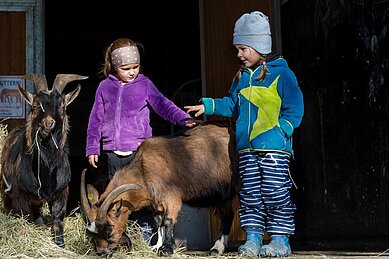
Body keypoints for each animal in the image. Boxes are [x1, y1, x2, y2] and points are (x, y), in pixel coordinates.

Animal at [0, 73, 87, 248]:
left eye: (62, 107)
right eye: (35, 107)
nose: (48, 124)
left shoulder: (61, 193)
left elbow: (58, 219)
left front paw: (60, 245)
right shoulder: (20, 196)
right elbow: (25, 217)